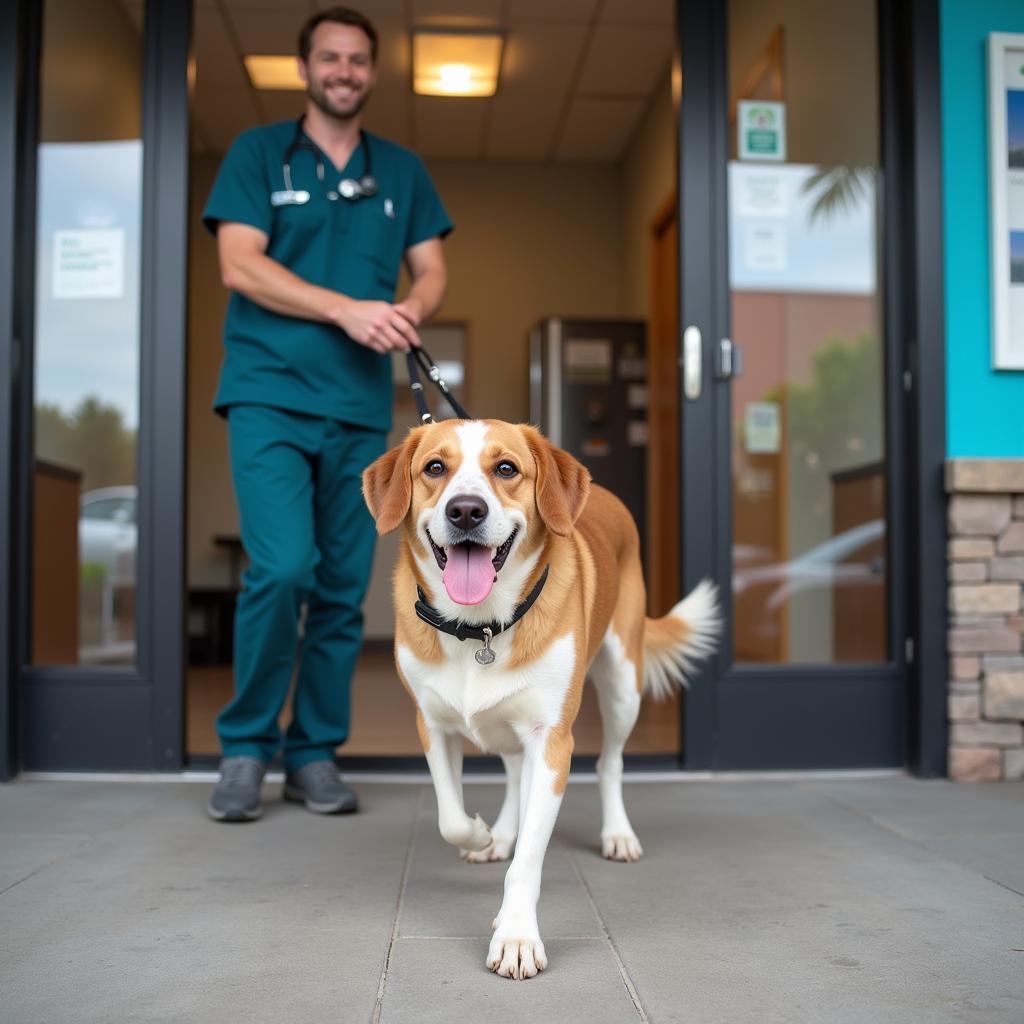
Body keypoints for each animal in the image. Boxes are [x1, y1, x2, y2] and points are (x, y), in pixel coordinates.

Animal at [364, 419, 716, 978]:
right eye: (435, 468)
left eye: (506, 468)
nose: (466, 510)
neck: (480, 626)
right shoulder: (432, 724)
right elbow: (450, 818)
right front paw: (484, 836)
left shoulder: (552, 741)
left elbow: (529, 857)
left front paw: (515, 934)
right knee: (513, 774)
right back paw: (502, 833)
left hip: (623, 686)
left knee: (609, 764)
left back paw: (617, 834)